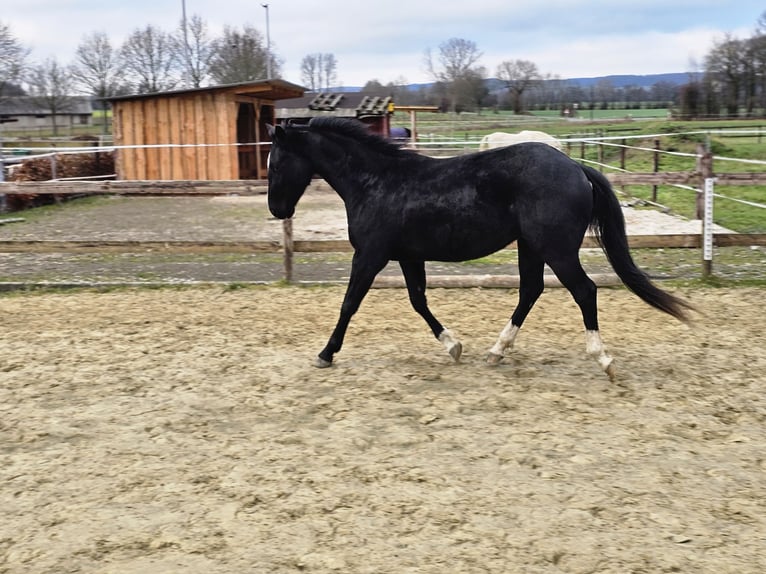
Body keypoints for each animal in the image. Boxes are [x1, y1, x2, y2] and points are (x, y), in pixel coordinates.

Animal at [266, 117, 692, 379]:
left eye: (276, 163)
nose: (276, 210)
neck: (375, 182)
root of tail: (575, 168)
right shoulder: (408, 256)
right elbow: (418, 301)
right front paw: (453, 346)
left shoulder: (370, 255)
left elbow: (349, 303)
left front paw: (325, 354)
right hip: (531, 247)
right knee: (531, 290)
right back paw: (496, 351)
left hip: (555, 249)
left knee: (584, 291)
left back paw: (602, 359)